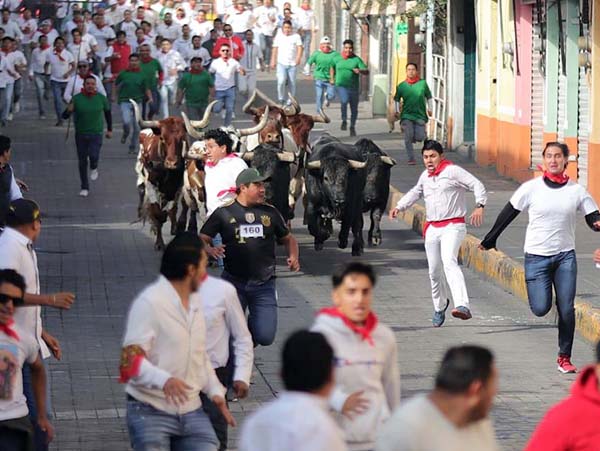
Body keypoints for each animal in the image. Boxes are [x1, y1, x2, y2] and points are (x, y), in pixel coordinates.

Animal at [132, 99, 191, 252]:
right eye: (163, 138)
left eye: (182, 138)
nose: (172, 163)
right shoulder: (151, 184)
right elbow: (157, 213)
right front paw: (159, 243)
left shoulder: (175, 188)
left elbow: (171, 209)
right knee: (142, 194)